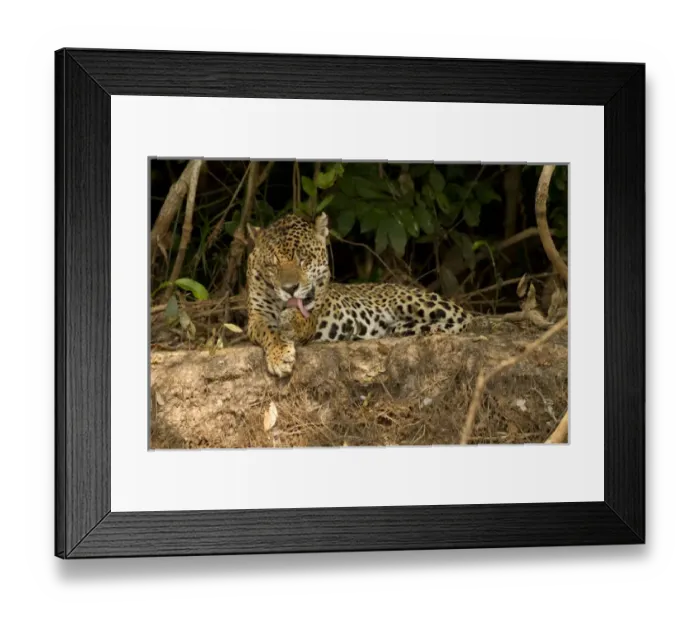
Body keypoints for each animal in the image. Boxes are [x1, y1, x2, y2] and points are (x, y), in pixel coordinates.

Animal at [245, 212, 473, 377]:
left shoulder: (312, 312)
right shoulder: (258, 315)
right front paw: (279, 355)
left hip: (418, 303)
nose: (290, 288)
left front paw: (289, 324)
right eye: (272, 264)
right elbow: (268, 331)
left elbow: (302, 320)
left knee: (466, 320)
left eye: (304, 259)